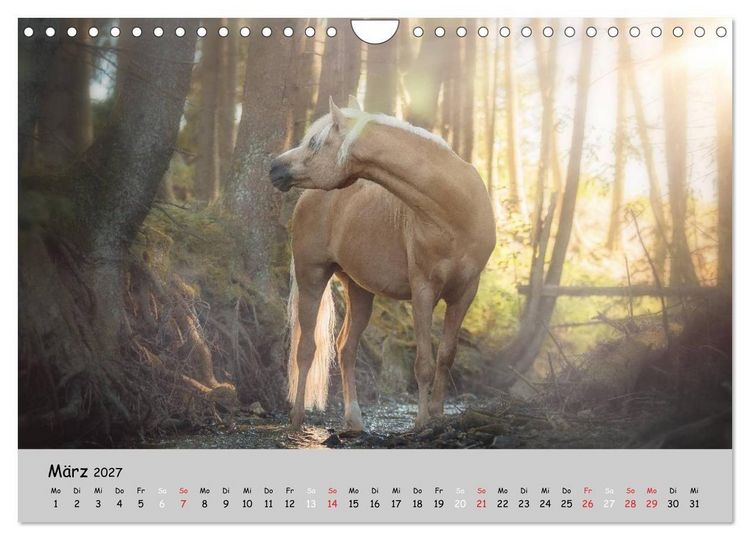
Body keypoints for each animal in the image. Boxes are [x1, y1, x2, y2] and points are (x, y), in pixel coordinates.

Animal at [269, 97, 495, 431]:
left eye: (313, 143)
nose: (274, 167)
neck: (455, 211)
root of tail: (308, 198)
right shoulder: (423, 291)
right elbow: (424, 363)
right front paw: (421, 423)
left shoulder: (465, 292)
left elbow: (446, 356)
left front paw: (438, 415)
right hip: (312, 275)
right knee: (307, 349)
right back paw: (297, 419)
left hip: (358, 289)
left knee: (345, 348)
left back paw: (354, 419)